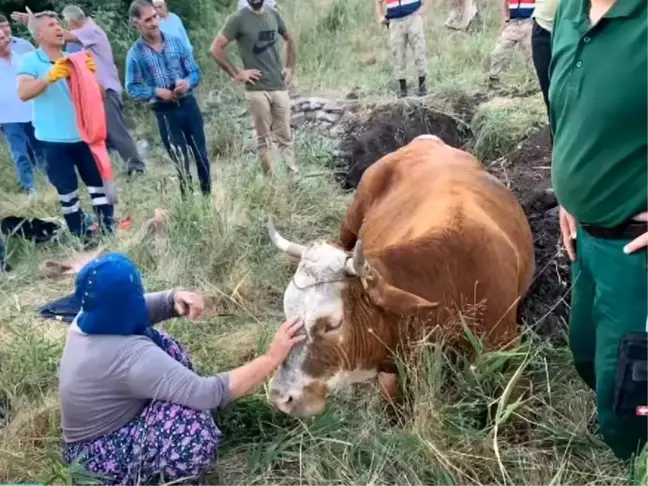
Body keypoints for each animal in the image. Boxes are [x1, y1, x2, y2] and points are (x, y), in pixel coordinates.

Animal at [266, 134, 536, 418]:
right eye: (287, 313)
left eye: (332, 324)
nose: (281, 397)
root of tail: (426, 139)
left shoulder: (510, 356)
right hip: (350, 221)